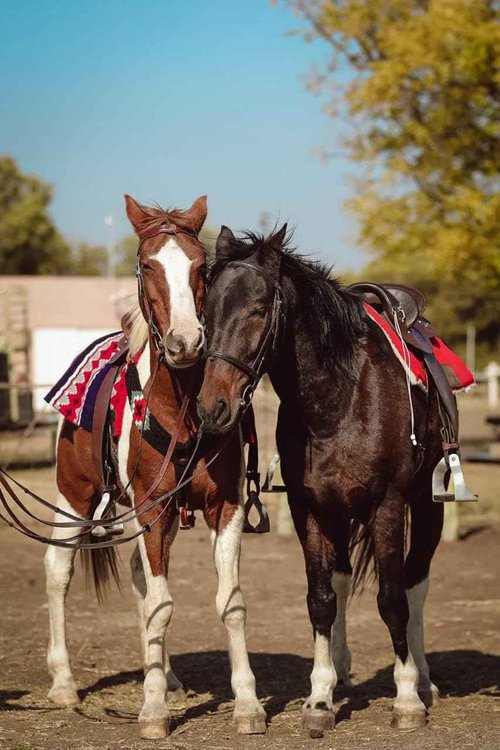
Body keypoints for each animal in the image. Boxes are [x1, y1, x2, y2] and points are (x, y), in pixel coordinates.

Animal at [44, 196, 266, 740]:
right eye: (147, 266)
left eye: (202, 267)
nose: (186, 343)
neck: (181, 407)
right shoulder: (151, 510)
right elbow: (162, 607)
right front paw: (152, 712)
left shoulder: (225, 507)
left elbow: (230, 602)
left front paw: (247, 704)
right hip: (73, 496)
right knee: (59, 571)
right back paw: (64, 684)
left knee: (140, 579)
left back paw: (165, 675)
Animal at [197, 225, 446, 735]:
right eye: (206, 311)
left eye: (258, 308)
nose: (213, 409)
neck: (339, 399)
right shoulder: (308, 508)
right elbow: (322, 599)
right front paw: (319, 698)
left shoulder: (387, 506)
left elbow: (393, 600)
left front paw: (407, 698)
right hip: (340, 513)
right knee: (345, 580)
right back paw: (344, 670)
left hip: (427, 506)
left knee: (416, 583)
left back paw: (424, 679)